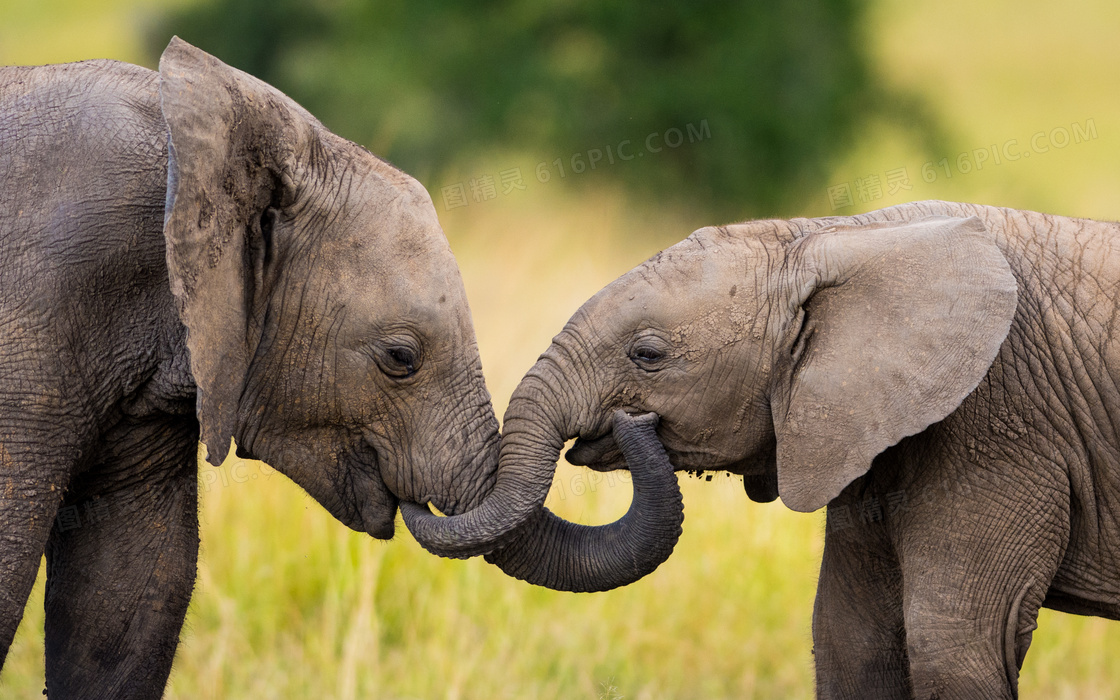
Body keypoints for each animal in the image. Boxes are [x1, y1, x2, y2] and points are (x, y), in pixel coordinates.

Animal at [504, 198, 1120, 698]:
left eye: (648, 355)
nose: (631, 425)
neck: (834, 234)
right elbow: (851, 643)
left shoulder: (1001, 427)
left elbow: (953, 648)